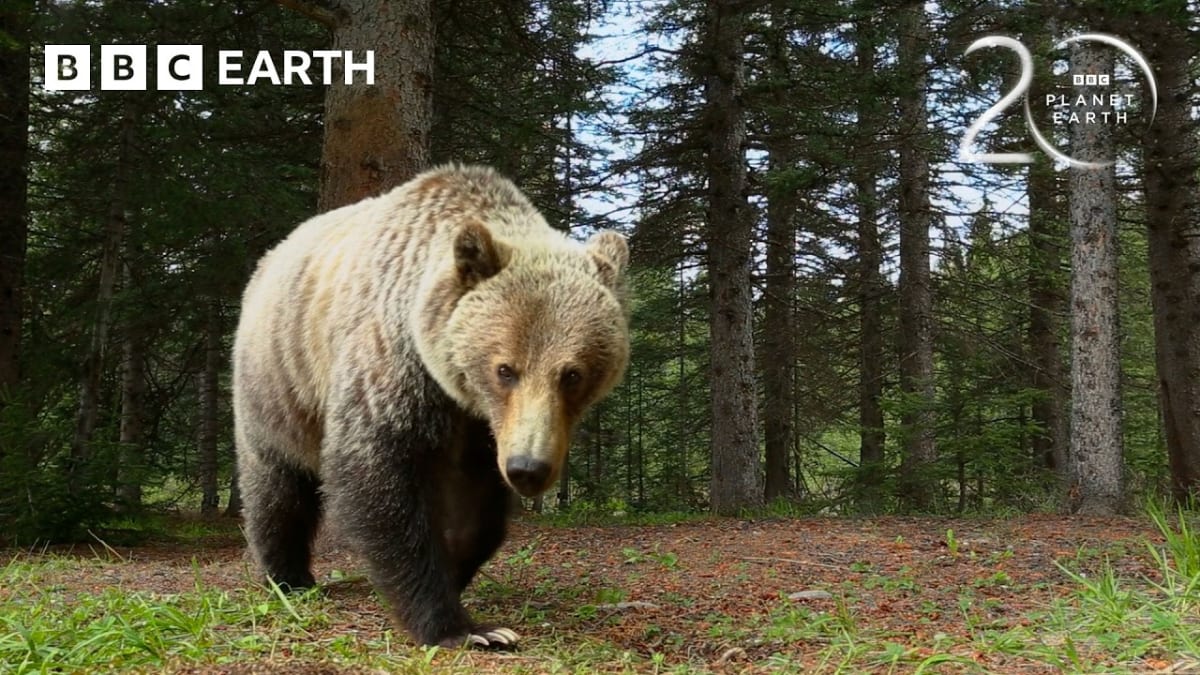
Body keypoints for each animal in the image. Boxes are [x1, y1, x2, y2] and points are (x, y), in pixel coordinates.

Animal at [232, 164, 630, 649]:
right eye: (506, 369)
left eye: (572, 374)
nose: (528, 468)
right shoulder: (392, 371)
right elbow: (377, 478)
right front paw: (462, 628)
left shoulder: (480, 427)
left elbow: (476, 509)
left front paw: (458, 570)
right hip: (279, 382)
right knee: (277, 487)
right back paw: (288, 577)